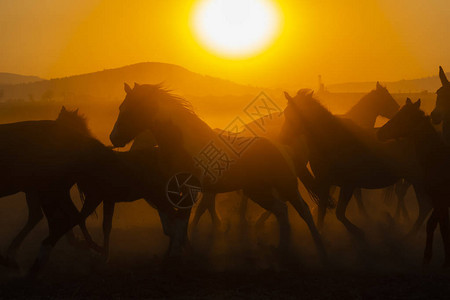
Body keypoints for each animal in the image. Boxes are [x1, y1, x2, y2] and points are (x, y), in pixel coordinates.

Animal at [109, 82, 326, 262]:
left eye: (131, 109)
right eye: (120, 108)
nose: (113, 138)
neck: (185, 145)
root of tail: (281, 147)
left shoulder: (190, 191)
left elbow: (181, 223)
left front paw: (179, 254)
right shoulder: (173, 193)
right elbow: (174, 225)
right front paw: (176, 251)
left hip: (285, 186)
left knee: (302, 210)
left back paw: (317, 246)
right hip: (257, 191)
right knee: (281, 209)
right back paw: (282, 248)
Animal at [280, 89, 430, 239]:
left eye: (296, 113)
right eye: (286, 113)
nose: (282, 137)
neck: (333, 141)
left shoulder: (348, 185)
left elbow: (340, 213)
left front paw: (358, 230)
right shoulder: (325, 184)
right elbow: (322, 212)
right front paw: (322, 232)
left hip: (418, 180)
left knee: (423, 207)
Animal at [380, 98, 450, 268]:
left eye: (403, 116)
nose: (380, 132)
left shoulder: (441, 200)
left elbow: (433, 224)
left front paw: (427, 257)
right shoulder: (440, 202)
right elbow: (443, 227)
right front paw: (445, 261)